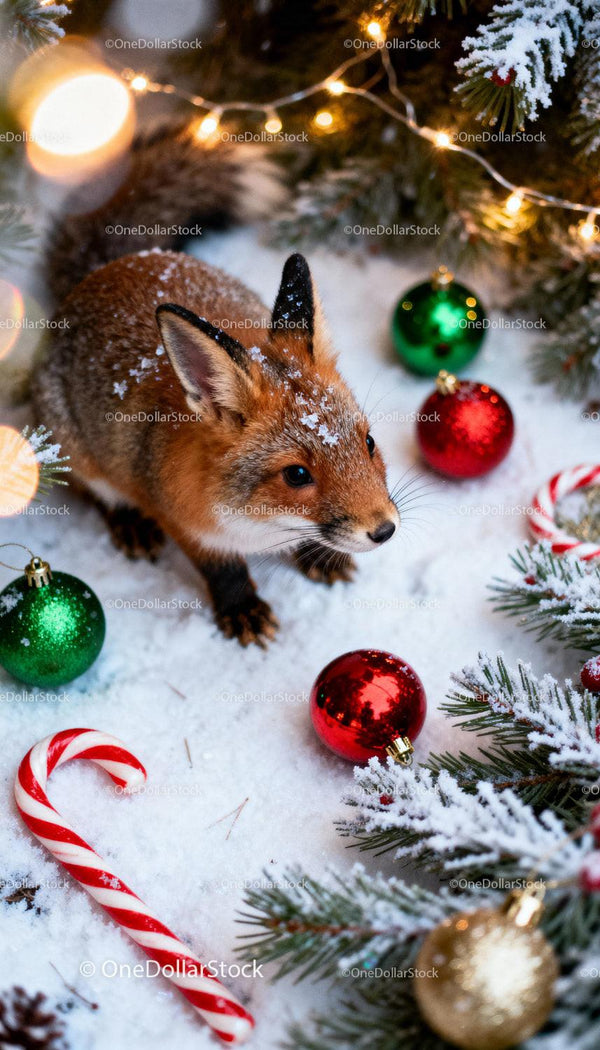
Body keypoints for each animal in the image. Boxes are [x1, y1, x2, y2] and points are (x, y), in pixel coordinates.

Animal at [33, 125, 399, 646]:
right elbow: (222, 572)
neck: (259, 524)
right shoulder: (185, 522)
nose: (384, 530)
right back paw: (128, 522)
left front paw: (319, 557)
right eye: (297, 475)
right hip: (78, 453)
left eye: (367, 442)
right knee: (96, 492)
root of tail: (116, 263)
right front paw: (241, 609)